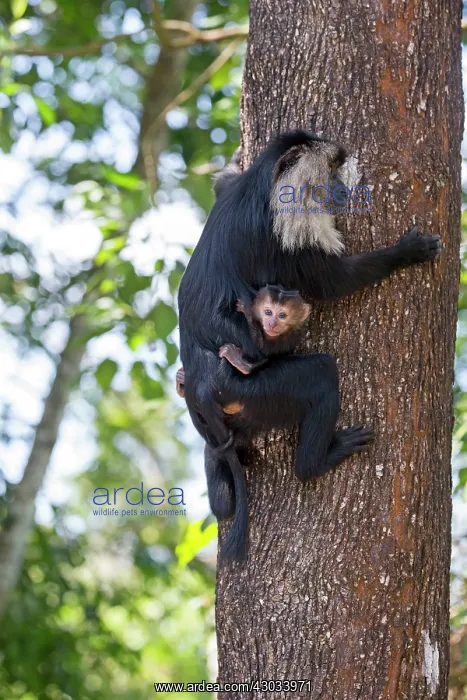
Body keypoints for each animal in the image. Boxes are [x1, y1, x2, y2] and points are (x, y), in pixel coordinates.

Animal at [177, 130, 442, 561]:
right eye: (330, 169)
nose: (342, 189)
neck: (259, 185)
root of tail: (201, 384)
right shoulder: (287, 229)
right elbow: (331, 282)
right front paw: (407, 252)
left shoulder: (236, 190)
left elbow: (223, 182)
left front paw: (236, 155)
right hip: (252, 391)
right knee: (320, 376)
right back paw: (317, 462)